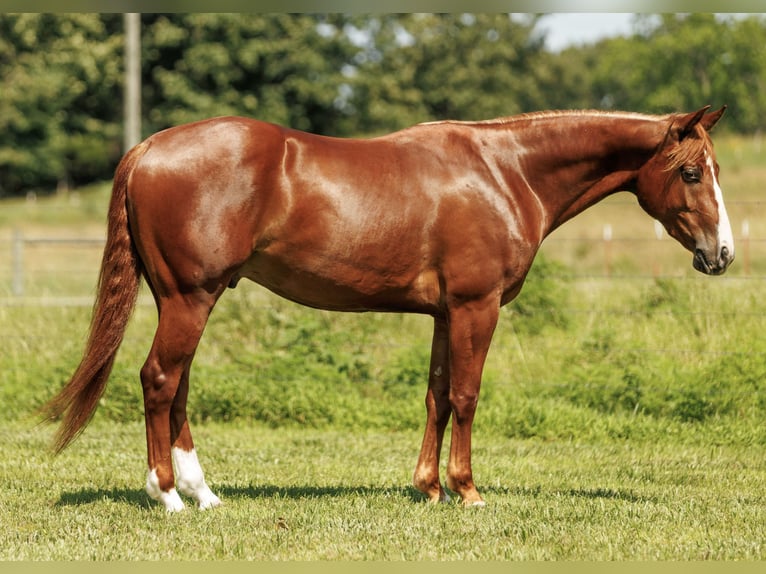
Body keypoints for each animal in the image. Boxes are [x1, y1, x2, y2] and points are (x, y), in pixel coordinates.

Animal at [43, 106, 733, 511]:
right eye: (692, 172)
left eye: (714, 167)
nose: (721, 253)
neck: (504, 171)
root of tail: (150, 147)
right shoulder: (477, 307)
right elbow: (467, 396)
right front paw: (467, 491)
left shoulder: (445, 314)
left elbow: (436, 395)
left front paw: (428, 489)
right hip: (191, 298)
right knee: (160, 380)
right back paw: (168, 497)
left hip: (183, 300)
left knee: (178, 385)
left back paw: (203, 492)